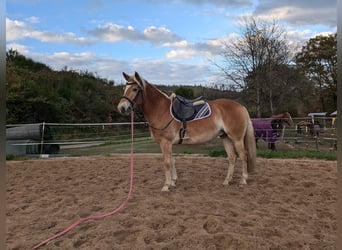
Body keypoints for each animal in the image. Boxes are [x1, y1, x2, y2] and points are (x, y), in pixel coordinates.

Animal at [117, 71, 256, 192]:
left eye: (135, 89)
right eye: (124, 89)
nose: (121, 108)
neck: (161, 110)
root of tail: (241, 107)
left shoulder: (165, 143)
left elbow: (166, 163)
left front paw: (166, 186)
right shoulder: (168, 144)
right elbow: (172, 160)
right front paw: (172, 182)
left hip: (236, 138)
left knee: (243, 155)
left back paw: (243, 180)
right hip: (225, 137)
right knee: (232, 157)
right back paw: (227, 181)